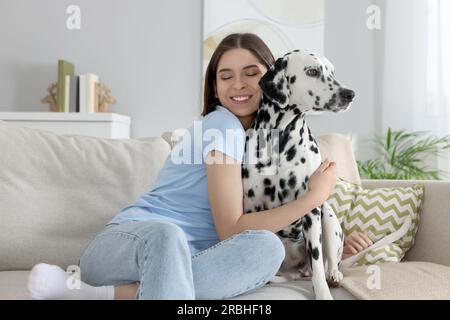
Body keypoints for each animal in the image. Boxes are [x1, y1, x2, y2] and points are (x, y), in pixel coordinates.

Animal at [243, 50, 356, 300]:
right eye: (312, 71)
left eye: (332, 71)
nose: (350, 94)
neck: (280, 140)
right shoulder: (252, 207)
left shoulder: (312, 210)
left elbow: (317, 264)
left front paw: (323, 293)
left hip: (328, 217)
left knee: (328, 263)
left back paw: (334, 275)